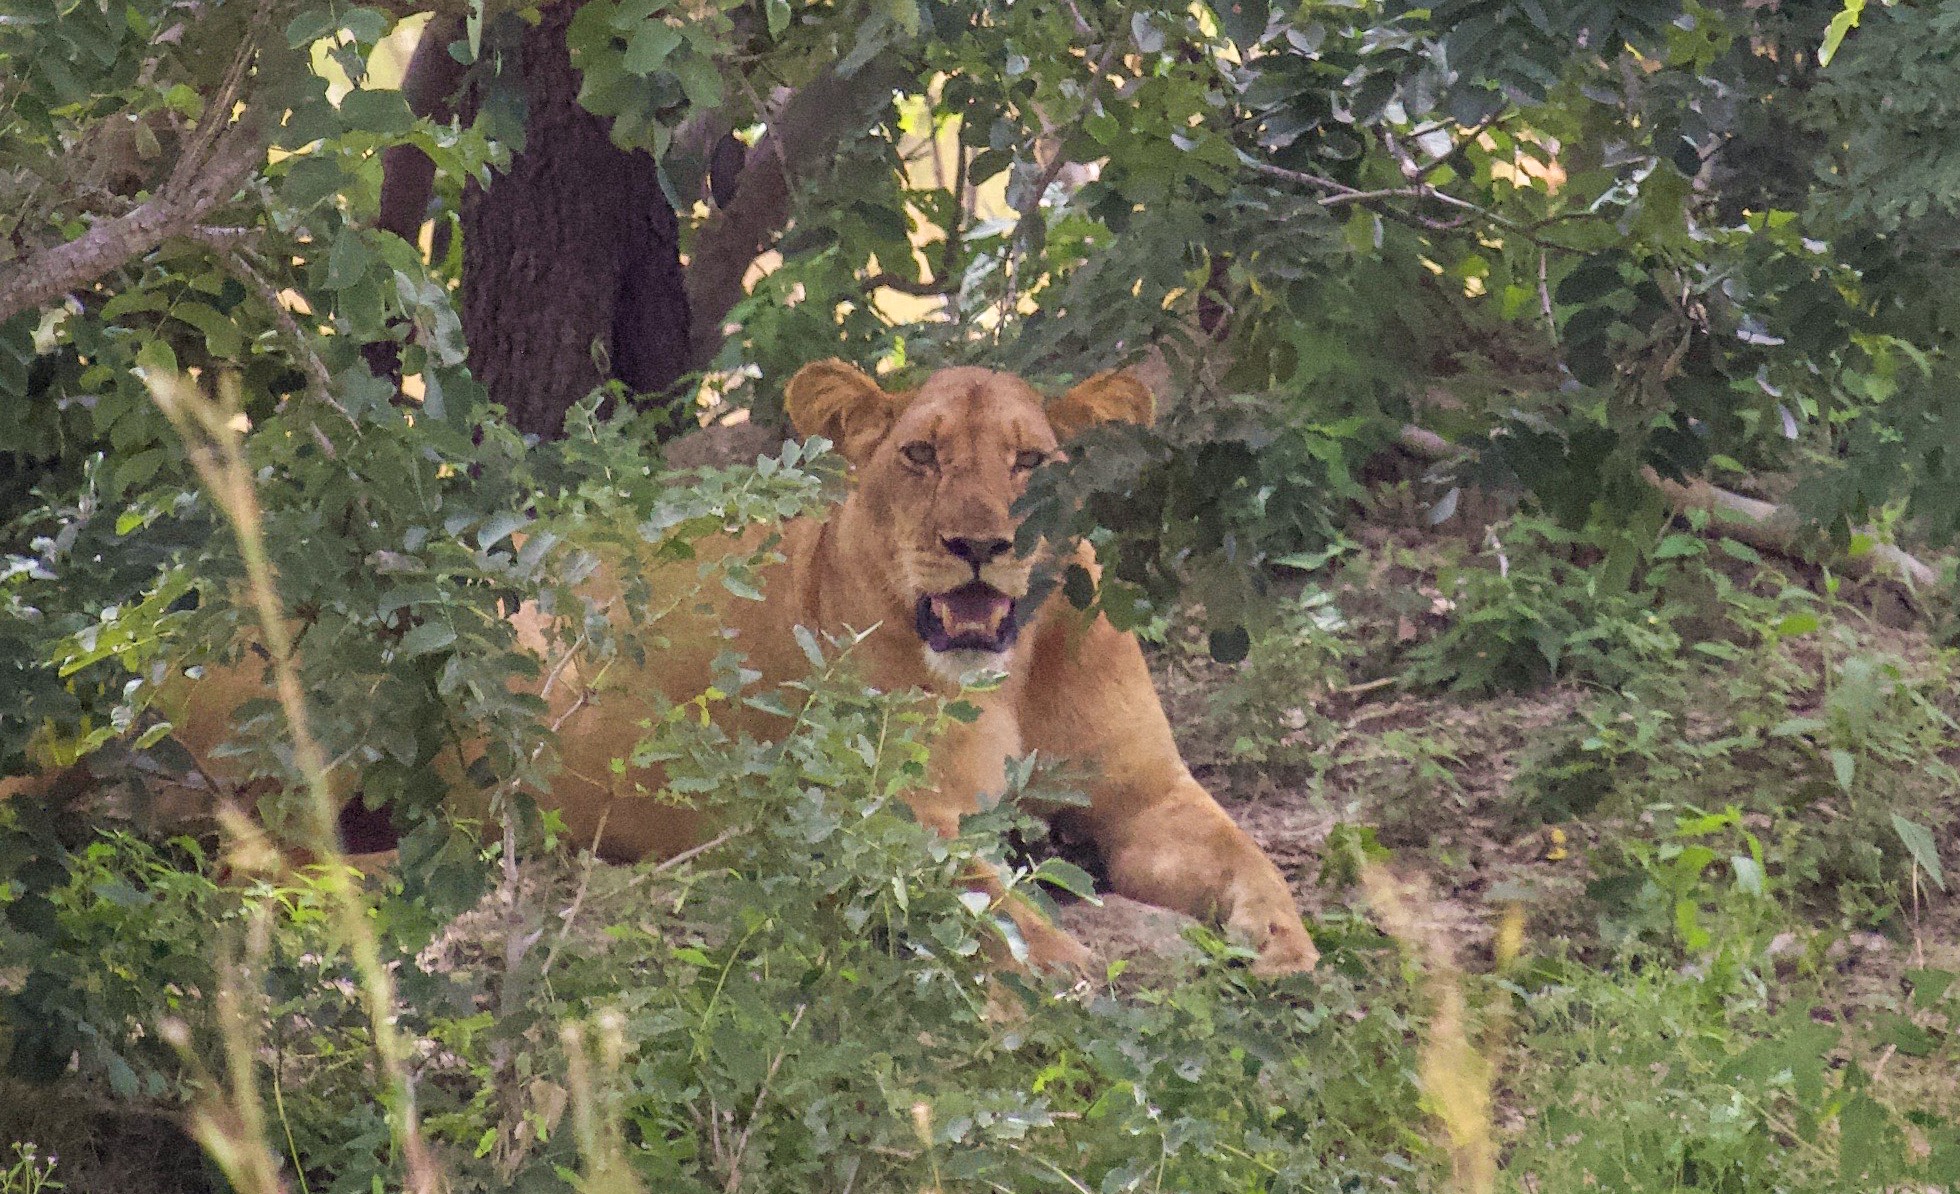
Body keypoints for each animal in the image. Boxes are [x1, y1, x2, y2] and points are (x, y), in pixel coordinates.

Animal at [4, 360, 1321, 978]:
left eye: (1032, 462)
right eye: (920, 456)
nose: (979, 547)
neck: (1004, 666)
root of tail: (138, 639)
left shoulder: (1145, 791)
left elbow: (1246, 851)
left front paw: (1286, 944)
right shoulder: (871, 813)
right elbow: (980, 889)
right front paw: (1055, 959)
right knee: (254, 860)